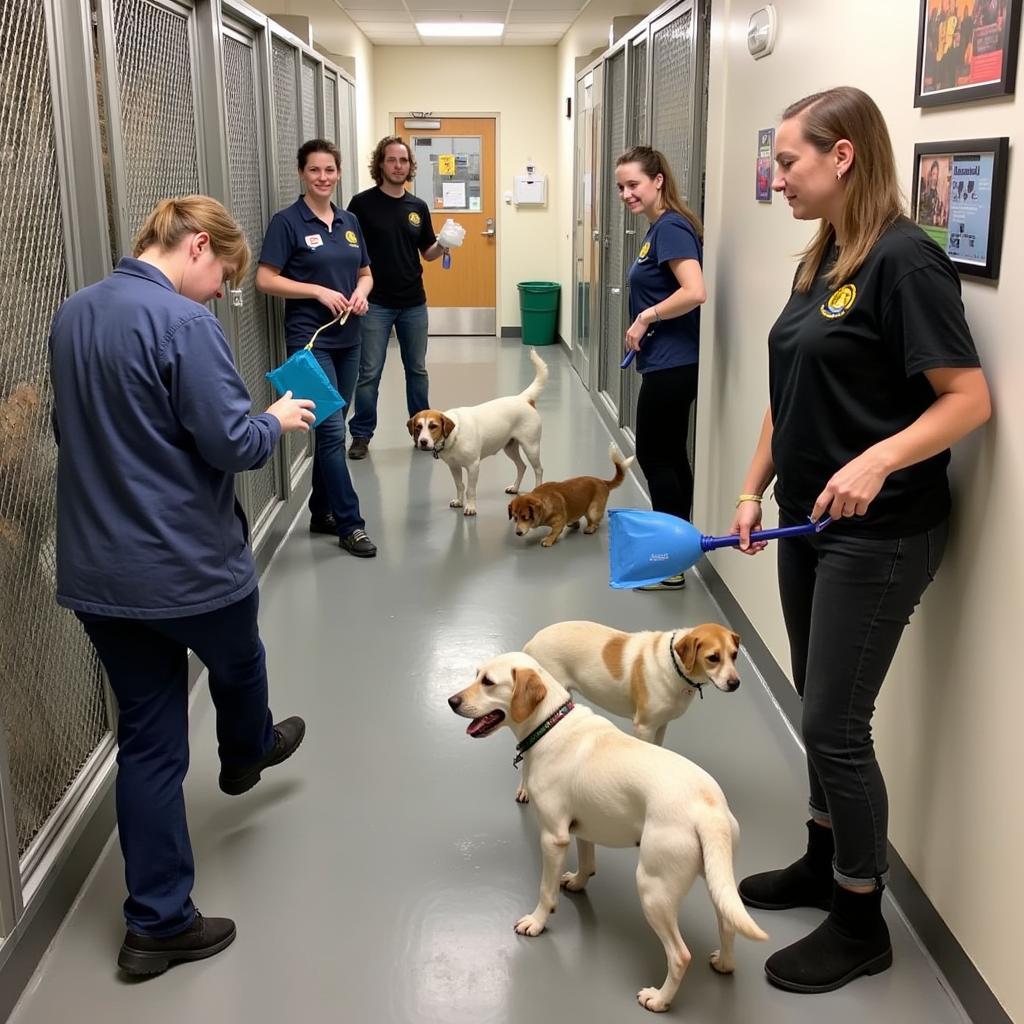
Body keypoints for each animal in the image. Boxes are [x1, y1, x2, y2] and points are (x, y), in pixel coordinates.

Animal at [405, 348, 548, 516]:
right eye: (418, 427)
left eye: (433, 426)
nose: (423, 442)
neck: (454, 436)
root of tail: (523, 398)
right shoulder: (454, 467)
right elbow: (460, 485)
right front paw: (459, 501)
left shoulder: (473, 466)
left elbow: (470, 489)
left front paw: (470, 507)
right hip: (510, 447)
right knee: (522, 466)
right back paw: (514, 488)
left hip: (531, 447)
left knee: (538, 469)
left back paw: (537, 490)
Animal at [448, 651, 770, 1011]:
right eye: (476, 675)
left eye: (488, 682)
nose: (451, 701)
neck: (550, 725)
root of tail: (708, 806)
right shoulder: (583, 828)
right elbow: (587, 863)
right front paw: (577, 883)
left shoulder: (554, 837)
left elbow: (545, 891)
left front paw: (537, 921)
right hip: (717, 880)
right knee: (728, 925)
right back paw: (724, 964)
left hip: (653, 888)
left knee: (680, 955)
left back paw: (659, 999)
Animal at [524, 618, 741, 749]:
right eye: (713, 658)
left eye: (734, 655)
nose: (735, 683)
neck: (674, 665)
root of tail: (531, 642)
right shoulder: (644, 727)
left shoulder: (661, 724)